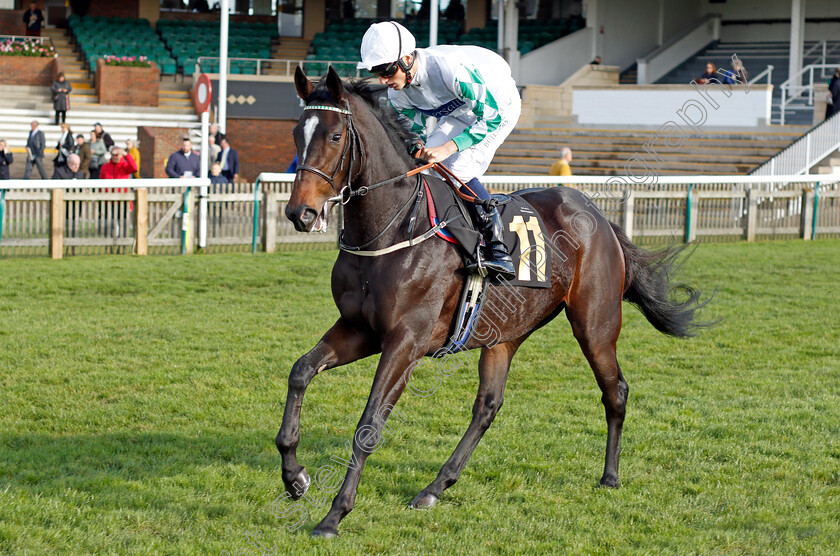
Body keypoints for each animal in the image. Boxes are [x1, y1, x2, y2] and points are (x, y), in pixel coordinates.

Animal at [278, 66, 704, 540]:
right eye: (296, 132)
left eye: (335, 136)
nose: (301, 213)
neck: (393, 228)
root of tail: (597, 214)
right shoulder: (359, 330)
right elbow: (300, 371)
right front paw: (295, 478)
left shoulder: (405, 342)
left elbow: (369, 425)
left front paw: (334, 515)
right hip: (505, 333)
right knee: (488, 406)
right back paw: (435, 488)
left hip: (595, 324)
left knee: (615, 390)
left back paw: (610, 475)